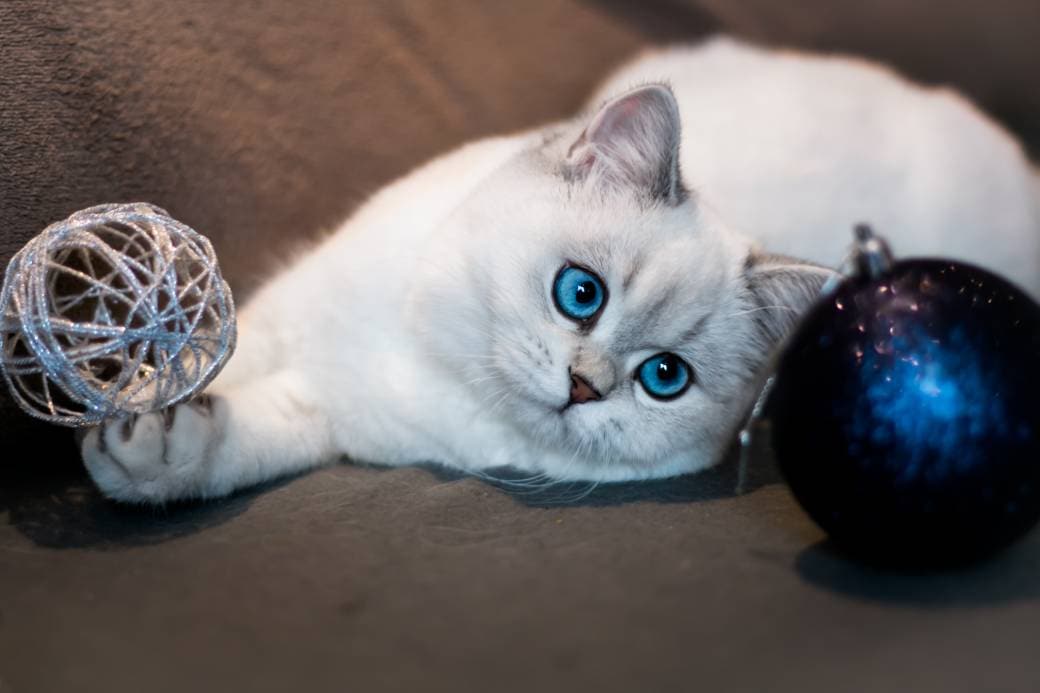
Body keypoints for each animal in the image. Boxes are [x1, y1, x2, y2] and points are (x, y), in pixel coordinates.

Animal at [76, 37, 1035, 499]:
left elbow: (235, 443)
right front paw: (135, 396)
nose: (583, 386)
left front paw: (149, 447)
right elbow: (215, 351)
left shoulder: (327, 418)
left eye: (663, 378)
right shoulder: (291, 315)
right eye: (581, 293)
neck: (424, 355)